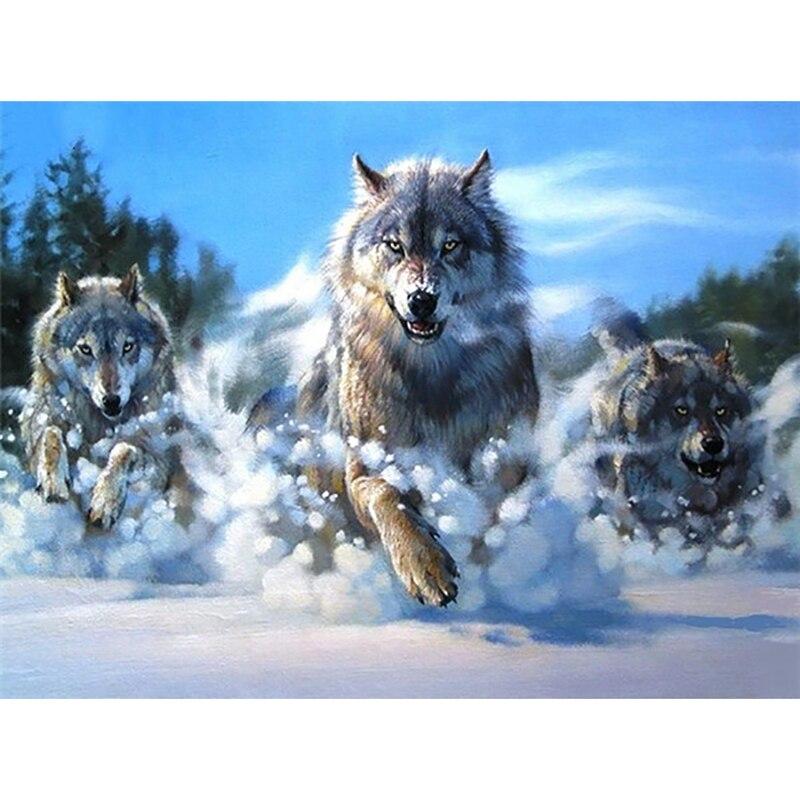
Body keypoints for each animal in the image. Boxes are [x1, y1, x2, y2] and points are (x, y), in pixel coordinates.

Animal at [20, 265, 179, 529]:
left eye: (127, 347)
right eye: (85, 349)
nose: (111, 400)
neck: (99, 424)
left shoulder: (159, 461)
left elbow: (123, 449)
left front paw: (105, 502)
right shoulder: (40, 428)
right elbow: (50, 435)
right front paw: (53, 483)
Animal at [249, 151, 540, 606]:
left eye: (450, 245)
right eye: (394, 246)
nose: (421, 299)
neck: (432, 375)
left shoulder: (508, 460)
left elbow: (492, 517)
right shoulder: (367, 465)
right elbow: (388, 496)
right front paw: (425, 566)